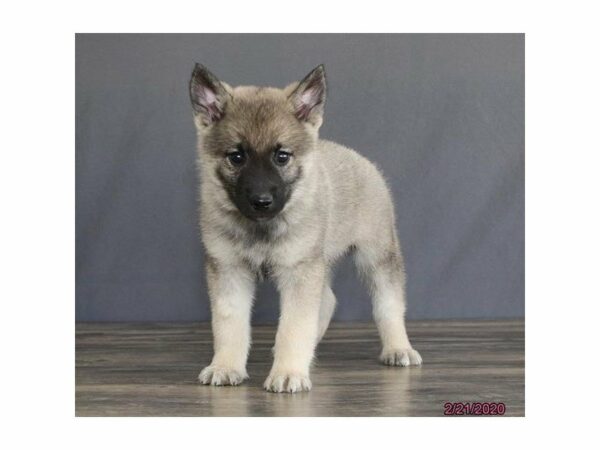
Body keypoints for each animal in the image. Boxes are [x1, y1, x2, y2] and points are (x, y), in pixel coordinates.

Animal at [189, 63, 422, 394]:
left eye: (281, 156)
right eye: (236, 156)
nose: (261, 201)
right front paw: (225, 366)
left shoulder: (299, 271)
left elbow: (293, 326)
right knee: (327, 301)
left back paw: (398, 348)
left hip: (377, 257)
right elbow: (229, 324)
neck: (262, 228)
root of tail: (360, 160)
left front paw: (288, 371)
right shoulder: (228, 270)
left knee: (388, 305)